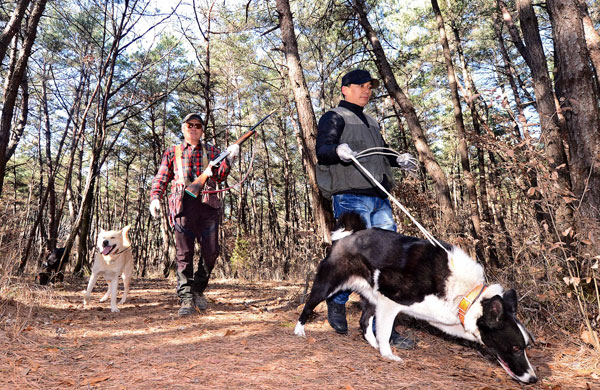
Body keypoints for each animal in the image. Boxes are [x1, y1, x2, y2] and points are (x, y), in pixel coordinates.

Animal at [298, 212, 536, 382]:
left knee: (364, 322)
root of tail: (351, 234)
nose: (533, 379)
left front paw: (382, 349)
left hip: (372, 298)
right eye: (516, 348)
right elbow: (385, 331)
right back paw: (299, 330)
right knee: (309, 305)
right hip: (327, 284)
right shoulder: (390, 301)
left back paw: (373, 344)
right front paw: (388, 355)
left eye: (526, 347)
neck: (466, 296)